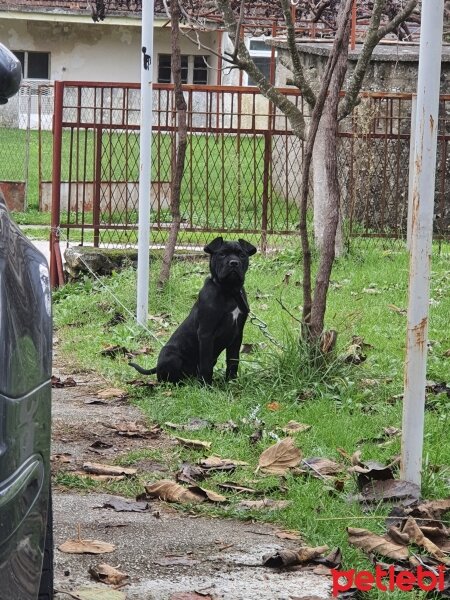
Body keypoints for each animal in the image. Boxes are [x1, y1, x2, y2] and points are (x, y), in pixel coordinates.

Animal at [130, 236, 256, 384]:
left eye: (242, 255)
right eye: (222, 254)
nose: (234, 263)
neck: (229, 290)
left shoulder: (237, 335)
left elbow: (233, 361)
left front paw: (231, 382)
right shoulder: (206, 333)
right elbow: (206, 364)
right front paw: (206, 385)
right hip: (171, 356)